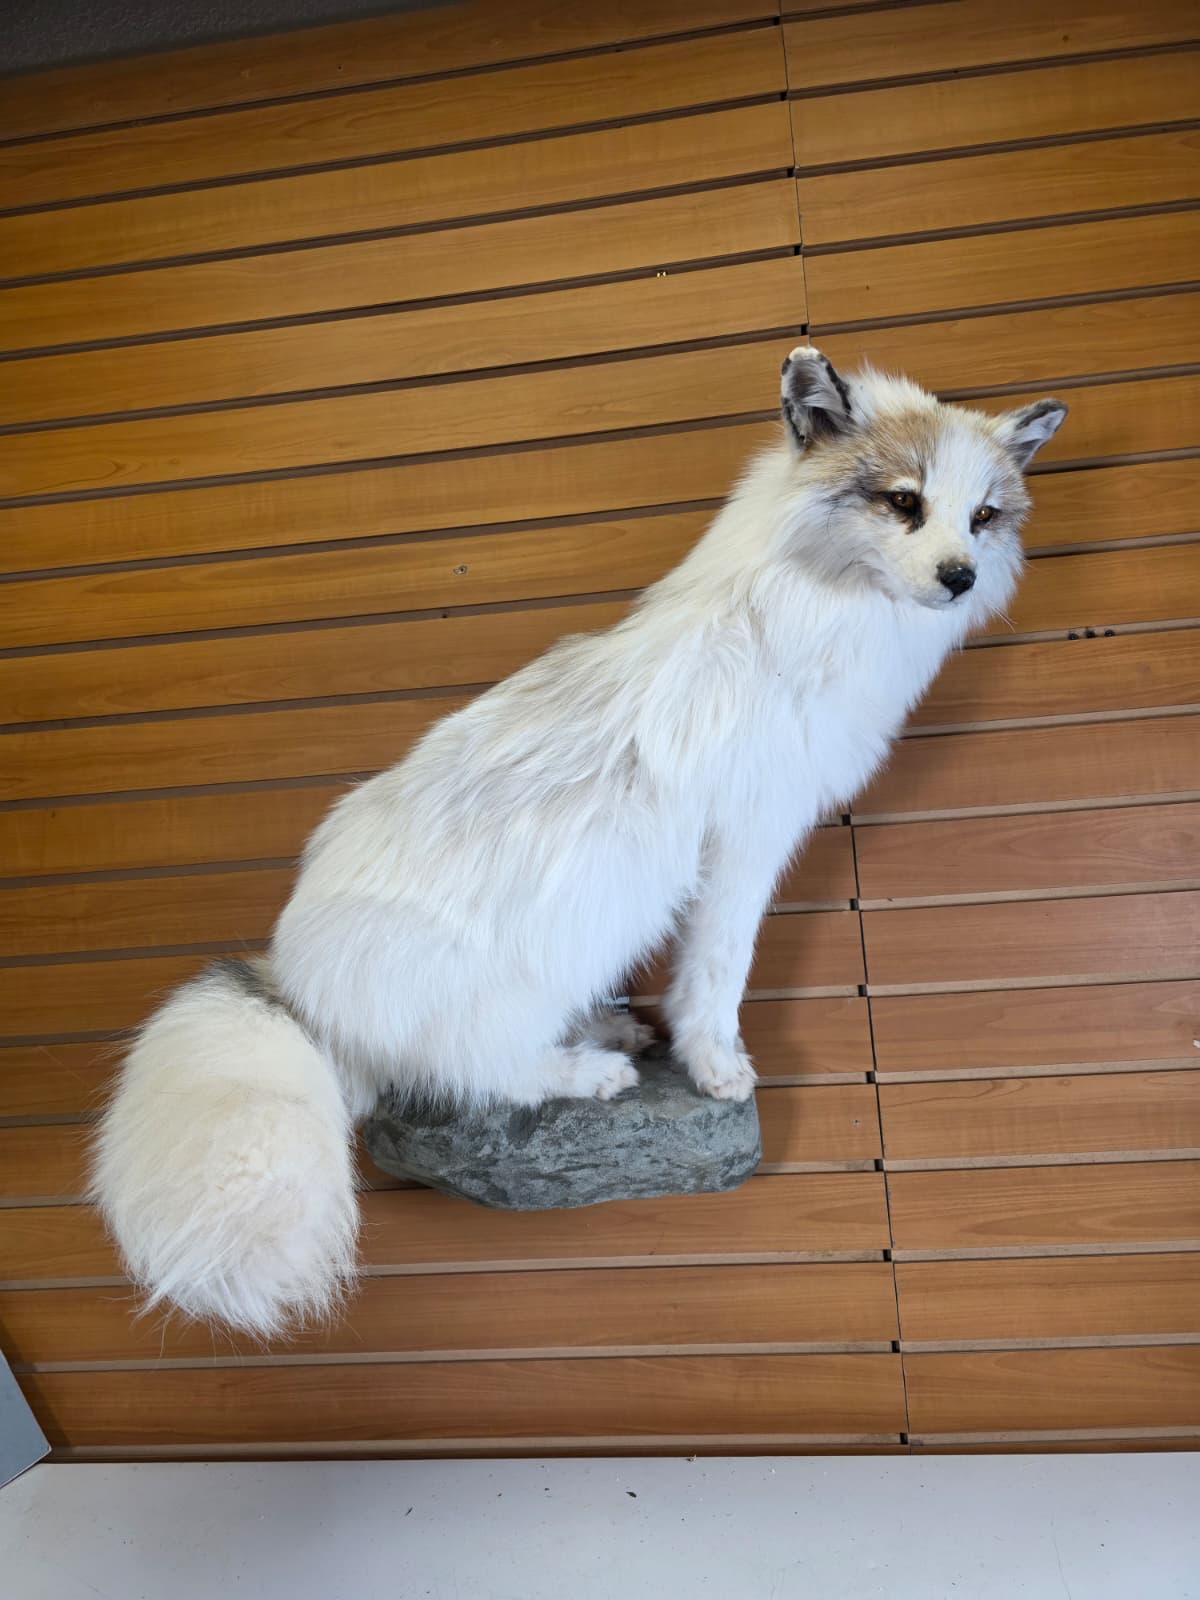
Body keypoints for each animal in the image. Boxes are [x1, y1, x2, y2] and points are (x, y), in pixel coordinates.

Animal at [93, 346, 1066, 1336]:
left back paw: (606, 1026)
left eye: (984, 517)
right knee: (478, 1074)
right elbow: (719, 972)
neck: (804, 619)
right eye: (903, 501)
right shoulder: (744, 843)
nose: (960, 576)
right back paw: (588, 1071)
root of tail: (299, 992)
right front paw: (715, 1065)